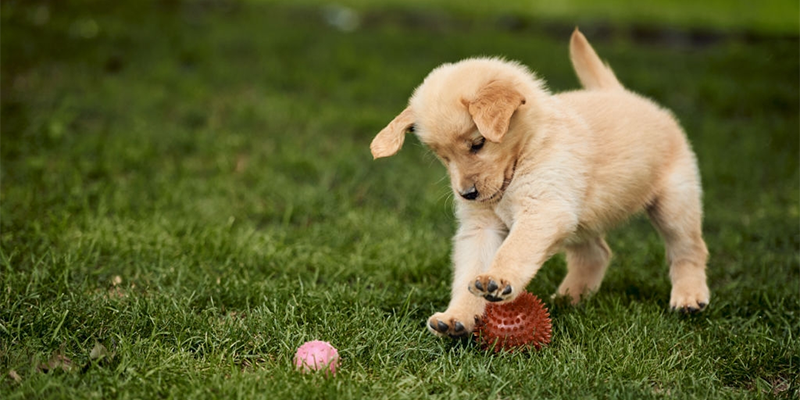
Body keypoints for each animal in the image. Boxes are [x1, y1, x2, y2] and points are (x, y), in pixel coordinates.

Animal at [368, 29, 708, 340]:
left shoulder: (543, 208)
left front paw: (498, 279)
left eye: (478, 144)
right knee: (596, 253)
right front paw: (457, 317)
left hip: (674, 201)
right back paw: (570, 298)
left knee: (688, 249)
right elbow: (470, 269)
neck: (527, 149)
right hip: (580, 218)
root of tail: (624, 94)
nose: (468, 194)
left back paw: (689, 297)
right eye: (442, 157)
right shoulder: (483, 226)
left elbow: (514, 249)